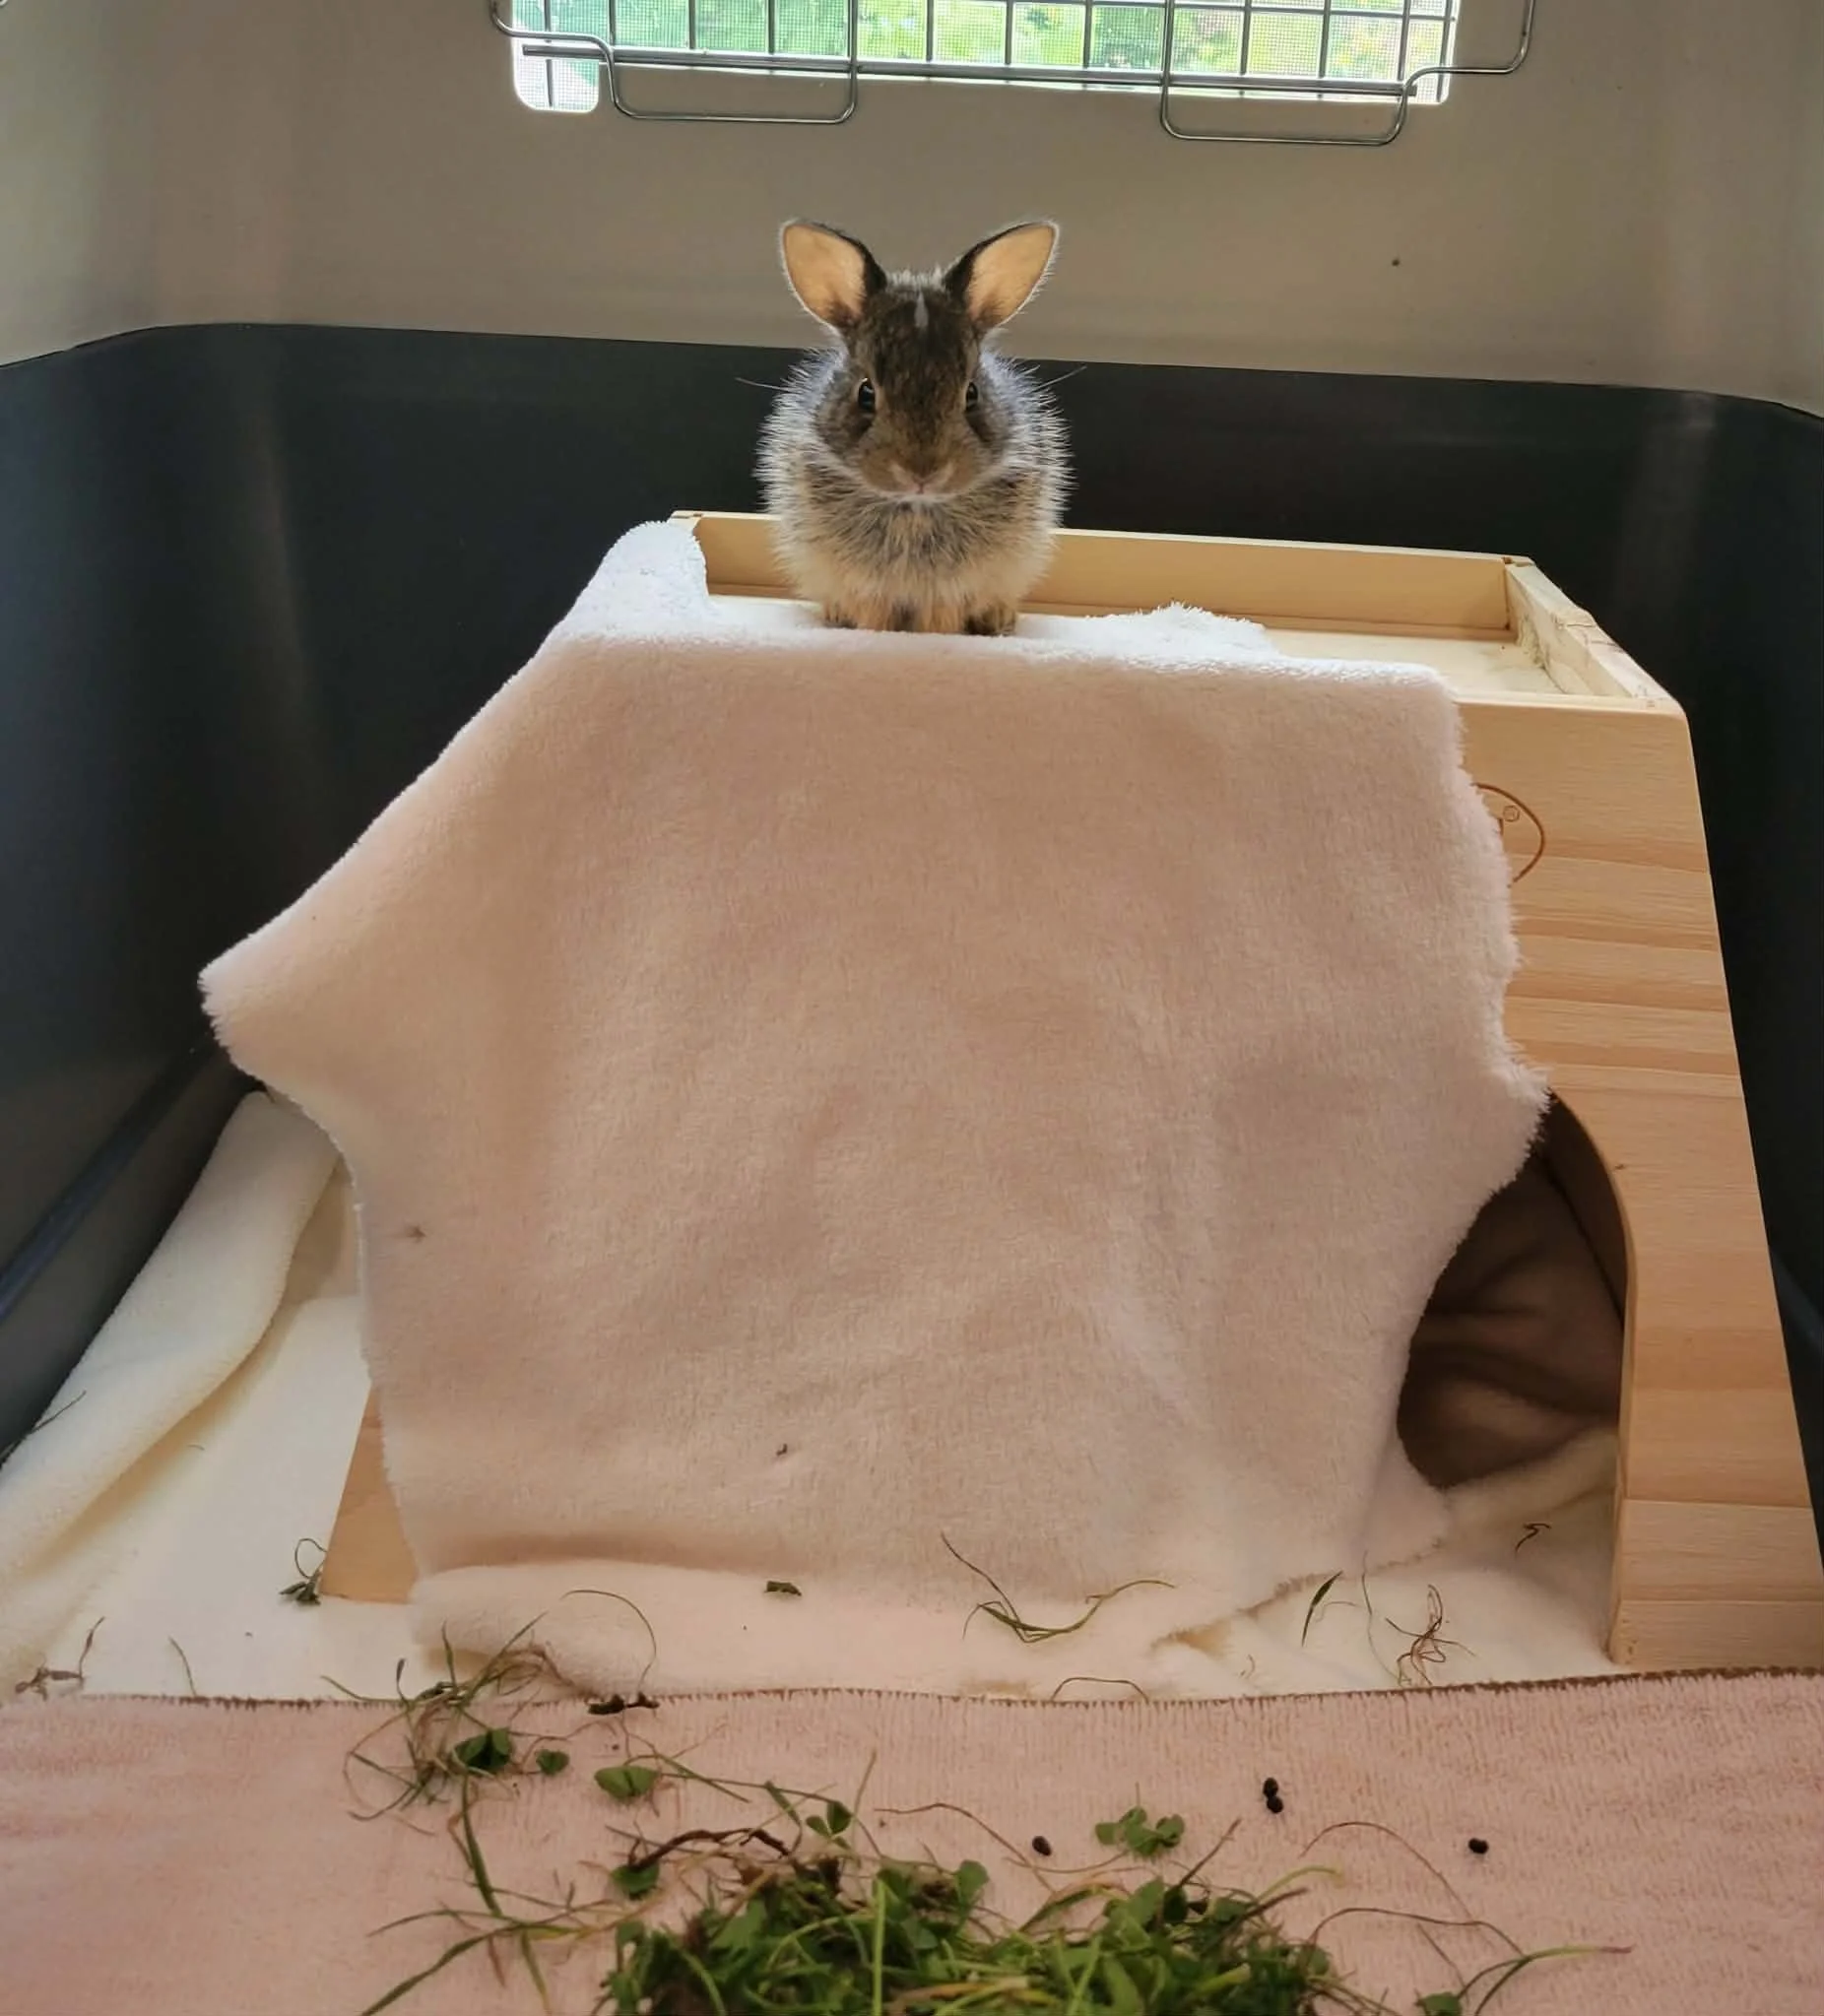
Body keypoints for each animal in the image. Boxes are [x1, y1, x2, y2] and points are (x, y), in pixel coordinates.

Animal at [757, 219, 1069, 637]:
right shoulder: (862, 583)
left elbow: (945, 614)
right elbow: (874, 612)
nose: (922, 472)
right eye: (866, 393)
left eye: (972, 394)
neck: (916, 505)